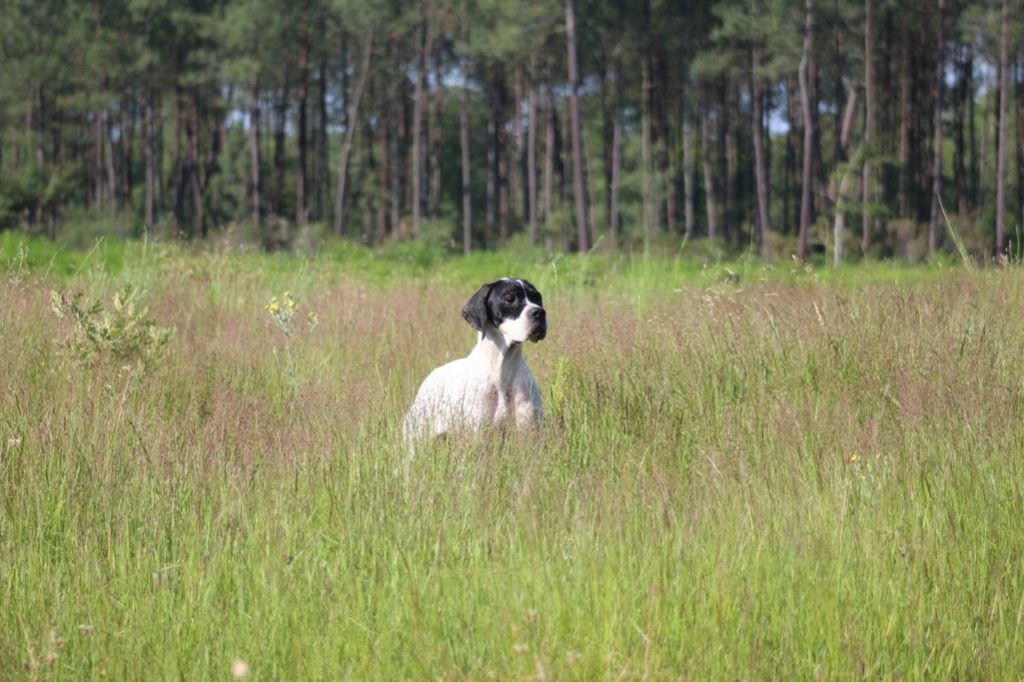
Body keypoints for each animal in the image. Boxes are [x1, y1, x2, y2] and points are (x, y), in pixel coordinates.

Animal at [403, 278, 548, 440]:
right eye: (510, 298)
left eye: (537, 297)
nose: (539, 312)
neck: (503, 367)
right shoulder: (479, 434)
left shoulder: (529, 431)